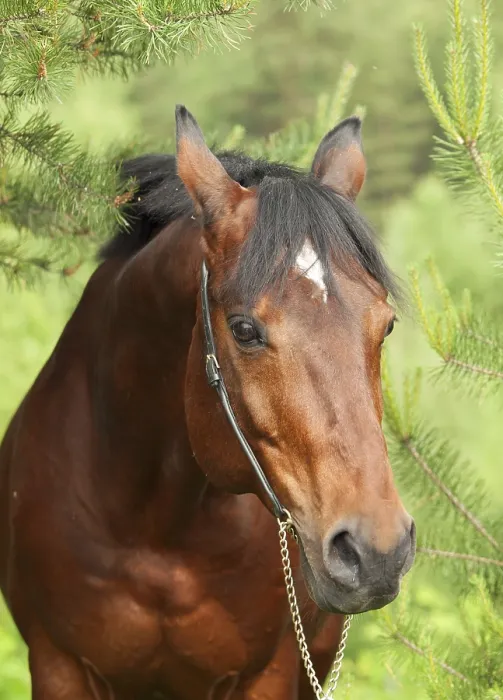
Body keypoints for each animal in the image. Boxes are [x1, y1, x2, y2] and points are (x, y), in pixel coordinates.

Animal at [0, 105, 415, 700]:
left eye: (386, 325)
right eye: (243, 330)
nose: (377, 551)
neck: (156, 529)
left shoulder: (268, 674)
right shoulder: (58, 666)